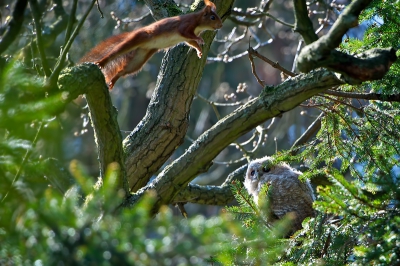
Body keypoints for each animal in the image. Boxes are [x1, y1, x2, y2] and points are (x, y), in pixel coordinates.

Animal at [78, 0, 222, 89]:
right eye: (213, 17)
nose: (220, 25)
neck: (198, 22)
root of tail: (135, 32)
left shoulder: (187, 37)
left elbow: (191, 42)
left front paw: (199, 50)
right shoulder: (185, 26)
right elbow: (188, 34)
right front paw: (200, 39)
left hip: (140, 57)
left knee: (124, 70)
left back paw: (113, 81)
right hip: (137, 39)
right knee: (114, 53)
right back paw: (101, 63)